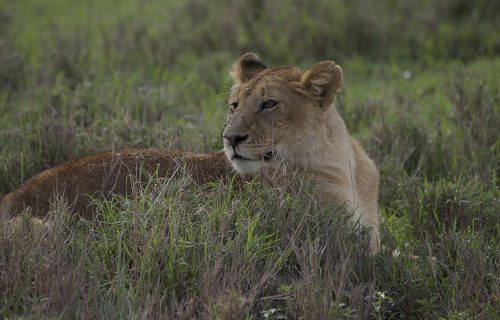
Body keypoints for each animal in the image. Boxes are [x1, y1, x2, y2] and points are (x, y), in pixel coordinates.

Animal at [0, 53, 378, 252]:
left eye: (269, 104)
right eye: (234, 105)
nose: (230, 138)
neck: (343, 163)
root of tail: (13, 197)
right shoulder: (339, 240)